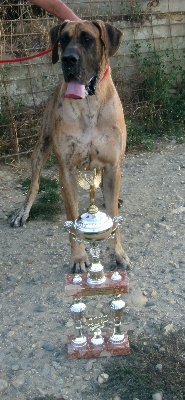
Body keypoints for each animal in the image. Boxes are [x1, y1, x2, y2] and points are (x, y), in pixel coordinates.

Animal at [11, 21, 130, 272]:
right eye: (63, 40)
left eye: (87, 40)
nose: (68, 59)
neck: (89, 104)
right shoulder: (66, 170)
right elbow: (73, 220)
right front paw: (79, 258)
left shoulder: (113, 165)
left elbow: (113, 218)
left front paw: (118, 253)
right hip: (41, 148)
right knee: (34, 183)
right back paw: (23, 212)